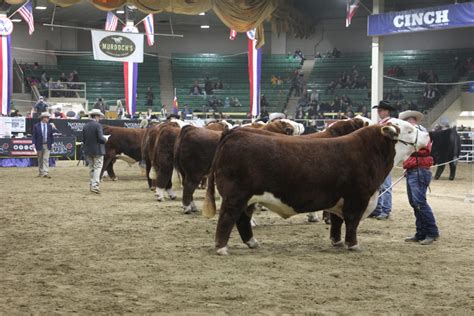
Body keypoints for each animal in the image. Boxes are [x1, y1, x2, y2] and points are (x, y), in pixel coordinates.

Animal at [174, 119, 304, 214]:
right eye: (293, 130)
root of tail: (190, 129)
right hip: (195, 173)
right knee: (188, 188)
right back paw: (187, 208)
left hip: (186, 172)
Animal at [202, 118, 432, 254]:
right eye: (409, 129)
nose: (428, 134)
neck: (369, 151)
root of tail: (235, 133)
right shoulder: (357, 198)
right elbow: (352, 223)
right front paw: (353, 245)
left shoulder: (341, 199)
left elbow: (338, 222)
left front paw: (337, 242)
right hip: (235, 196)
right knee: (227, 218)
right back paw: (221, 248)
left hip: (249, 198)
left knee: (242, 220)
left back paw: (252, 242)